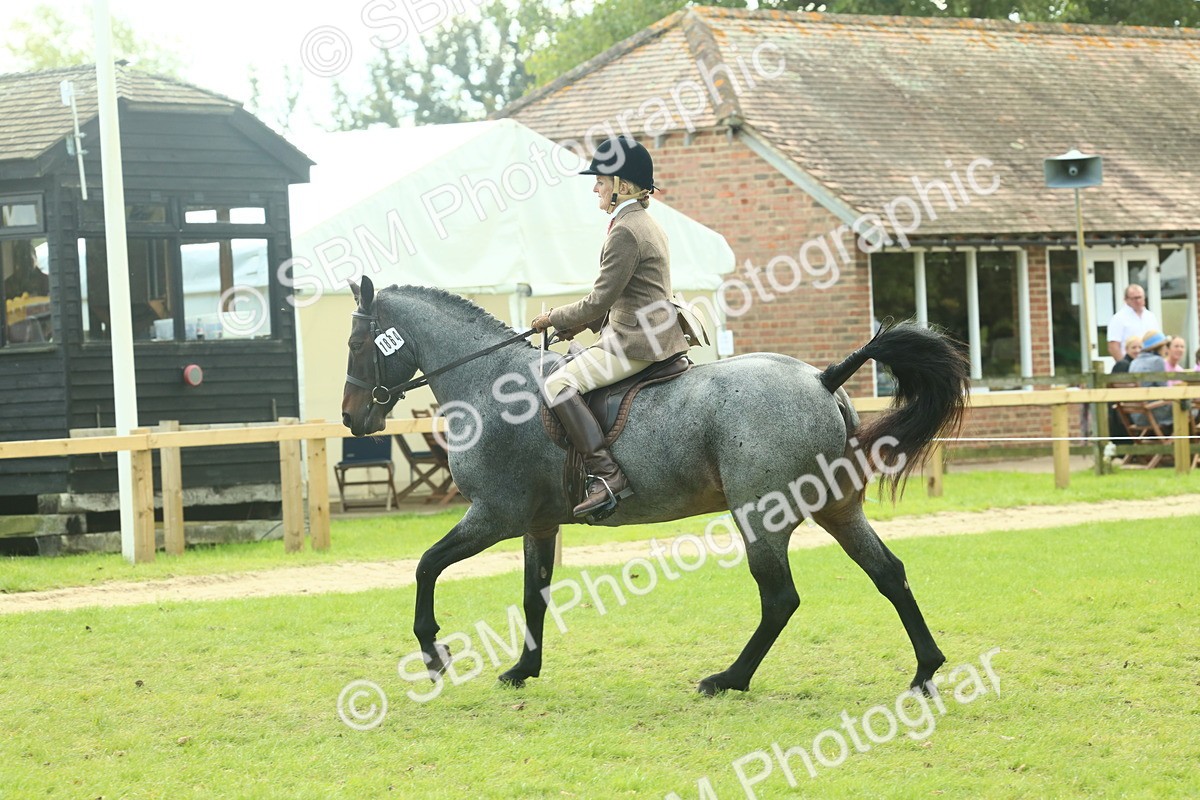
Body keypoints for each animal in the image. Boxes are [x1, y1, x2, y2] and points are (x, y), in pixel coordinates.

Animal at [341, 276, 970, 695]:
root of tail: (822, 378)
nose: (351, 419)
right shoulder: (537, 524)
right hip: (838, 509)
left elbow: (426, 566)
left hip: (760, 516)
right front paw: (523, 670)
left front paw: (433, 653)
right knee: (889, 574)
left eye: (354, 345)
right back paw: (925, 670)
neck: (490, 384)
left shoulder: (494, 515)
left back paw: (729, 678)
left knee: (780, 598)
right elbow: (533, 594)